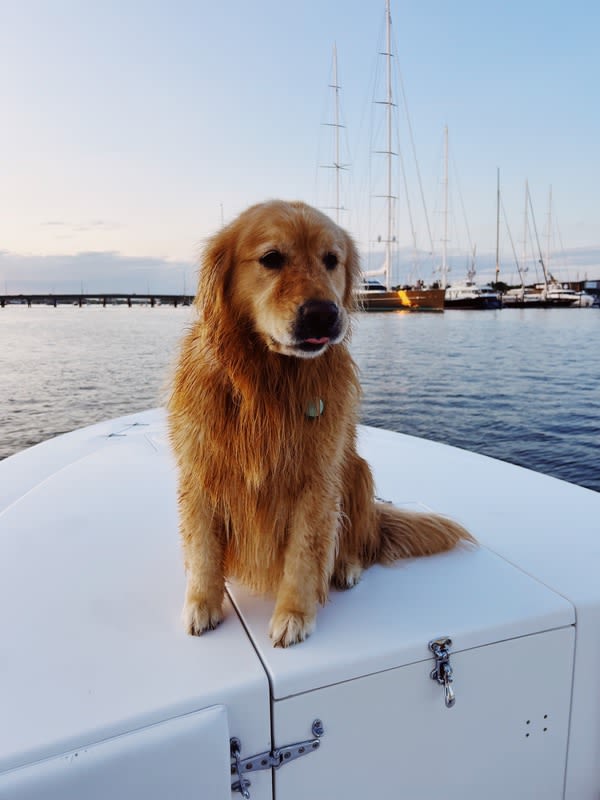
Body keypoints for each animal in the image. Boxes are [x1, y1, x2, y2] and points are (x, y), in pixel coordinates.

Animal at [169, 202, 474, 648]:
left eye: (332, 260)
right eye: (271, 258)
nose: (324, 314)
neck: (269, 382)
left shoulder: (316, 482)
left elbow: (304, 555)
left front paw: (294, 614)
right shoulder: (200, 472)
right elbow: (203, 551)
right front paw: (202, 604)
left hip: (357, 472)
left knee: (358, 542)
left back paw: (347, 566)